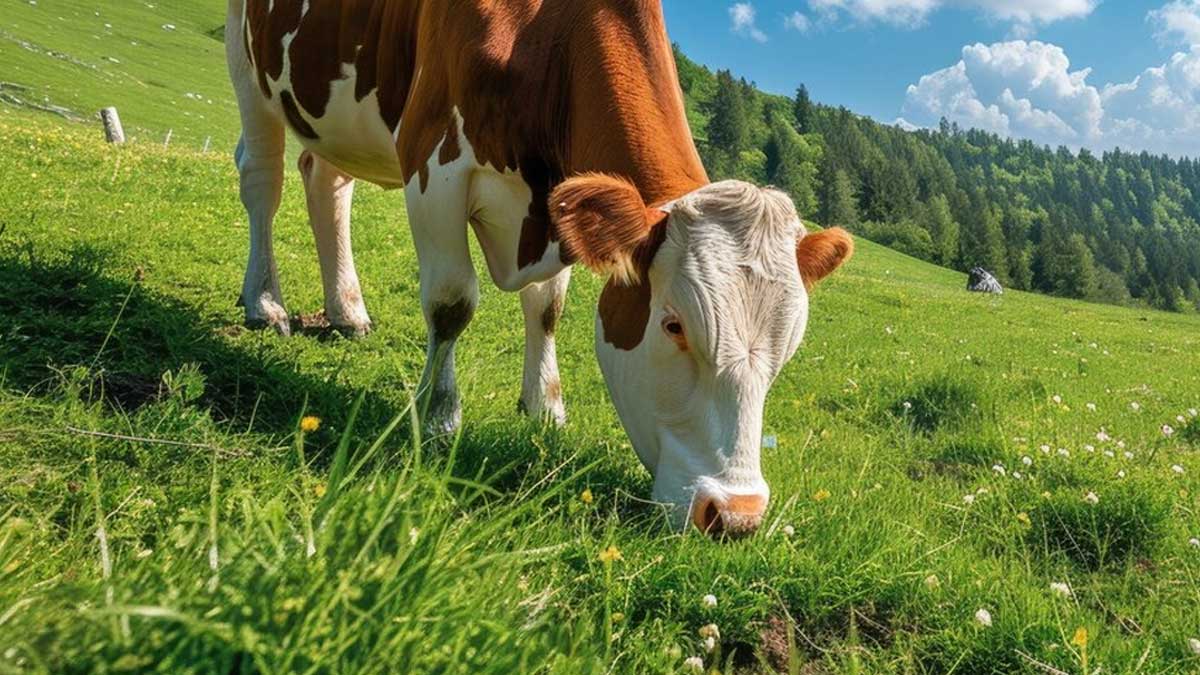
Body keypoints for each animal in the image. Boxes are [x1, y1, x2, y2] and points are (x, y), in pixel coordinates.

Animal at [226, 0, 853, 536]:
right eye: (674, 325)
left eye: (787, 350)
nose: (736, 516)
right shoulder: (432, 163)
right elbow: (452, 303)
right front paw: (439, 417)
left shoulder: (561, 207)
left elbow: (546, 308)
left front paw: (545, 407)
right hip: (247, 58)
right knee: (263, 175)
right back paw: (265, 303)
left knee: (327, 180)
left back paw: (346, 311)